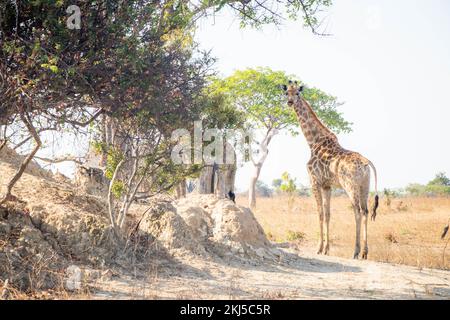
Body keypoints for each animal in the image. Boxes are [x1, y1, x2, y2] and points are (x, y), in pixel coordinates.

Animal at [284, 81, 378, 258]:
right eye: (287, 93)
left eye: (298, 93)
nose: (290, 102)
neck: (312, 141)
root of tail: (366, 163)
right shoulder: (327, 186)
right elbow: (328, 214)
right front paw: (326, 249)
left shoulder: (314, 181)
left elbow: (320, 213)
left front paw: (319, 248)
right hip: (365, 186)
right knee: (366, 211)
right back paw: (365, 252)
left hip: (350, 186)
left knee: (357, 210)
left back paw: (355, 251)